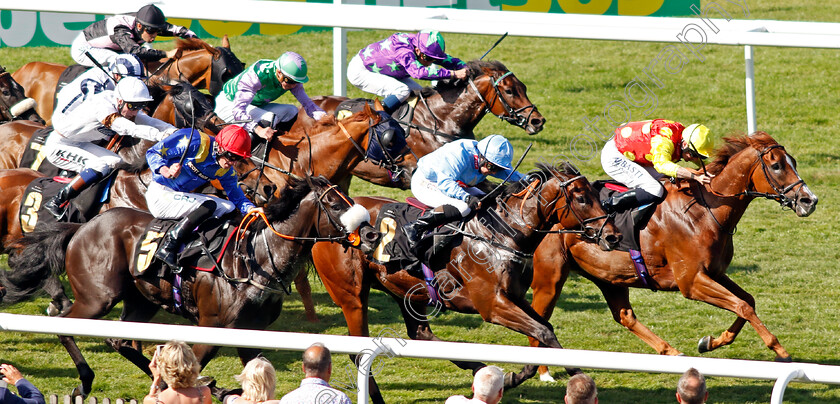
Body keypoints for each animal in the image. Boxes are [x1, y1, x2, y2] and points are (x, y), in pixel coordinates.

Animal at [2, 177, 378, 398]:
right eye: (335, 204)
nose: (372, 233)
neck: (255, 260)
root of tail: (80, 228)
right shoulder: (212, 327)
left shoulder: (250, 332)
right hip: (98, 298)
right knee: (63, 323)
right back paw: (85, 378)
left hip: (142, 301)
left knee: (120, 340)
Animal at [312, 163, 620, 400]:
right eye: (581, 198)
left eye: (596, 193)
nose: (613, 236)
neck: (502, 234)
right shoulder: (492, 305)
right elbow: (543, 332)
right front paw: (574, 378)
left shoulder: (514, 297)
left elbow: (545, 330)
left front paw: (523, 376)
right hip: (352, 296)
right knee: (358, 352)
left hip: (408, 293)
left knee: (421, 335)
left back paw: (479, 369)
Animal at [528, 133, 816, 378]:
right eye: (777, 165)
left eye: (793, 162)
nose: (809, 200)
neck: (705, 211)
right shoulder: (691, 282)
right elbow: (743, 306)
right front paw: (781, 351)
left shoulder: (714, 273)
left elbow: (747, 302)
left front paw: (709, 342)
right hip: (549, 279)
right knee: (538, 323)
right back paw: (544, 372)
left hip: (609, 277)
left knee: (624, 316)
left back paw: (671, 351)